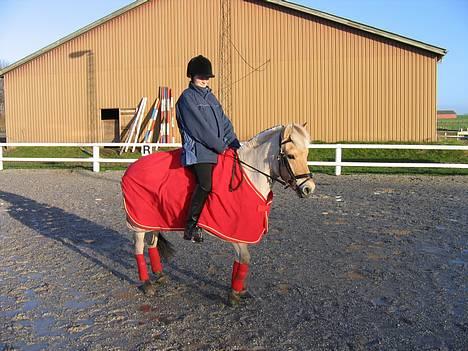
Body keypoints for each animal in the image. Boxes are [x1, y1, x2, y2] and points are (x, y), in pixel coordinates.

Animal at [122, 123, 316, 306]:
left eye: (306, 153)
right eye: (290, 156)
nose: (309, 188)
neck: (248, 175)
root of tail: (131, 168)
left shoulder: (241, 231)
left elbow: (240, 261)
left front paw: (239, 290)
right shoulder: (234, 233)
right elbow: (245, 258)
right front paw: (233, 294)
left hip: (151, 220)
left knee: (152, 244)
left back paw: (159, 274)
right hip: (138, 224)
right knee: (138, 248)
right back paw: (147, 283)